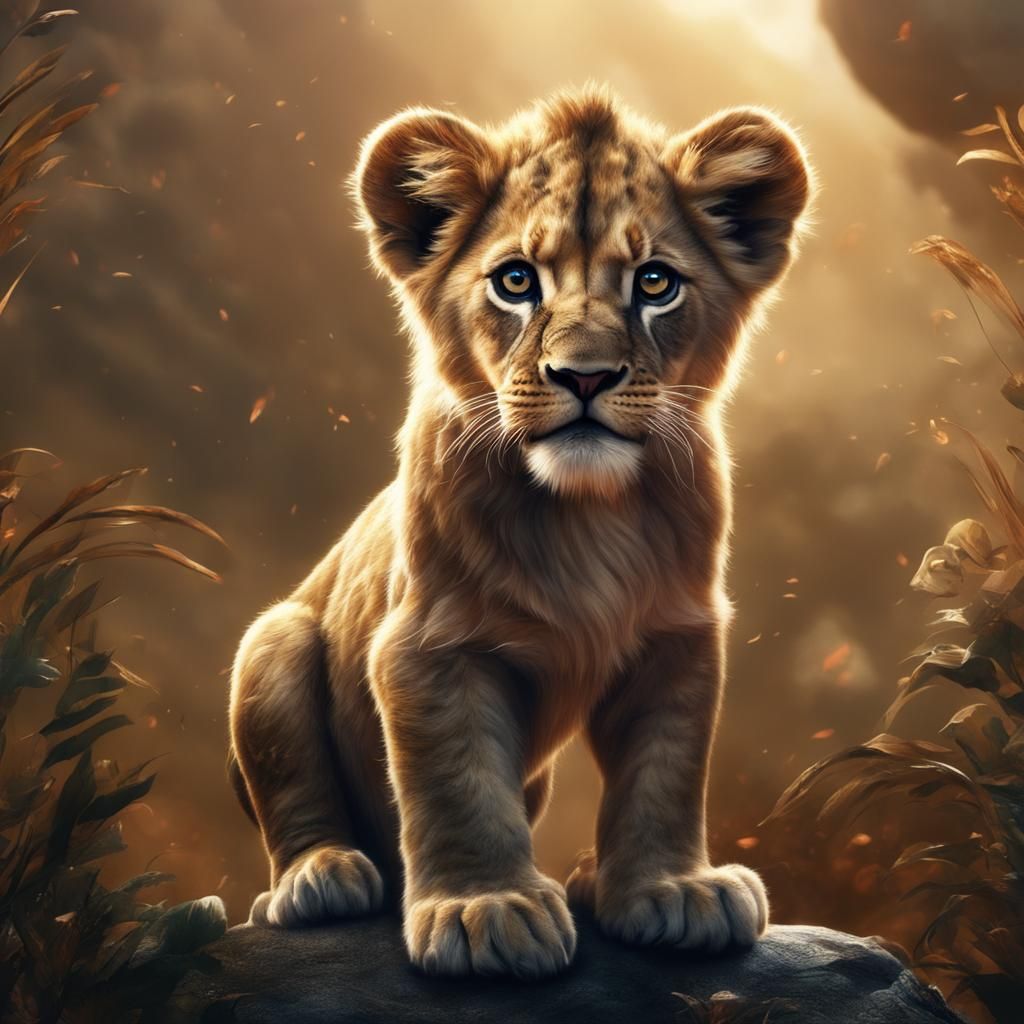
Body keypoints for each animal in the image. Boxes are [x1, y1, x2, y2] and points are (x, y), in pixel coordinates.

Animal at [228, 86, 812, 979]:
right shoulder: (428, 645)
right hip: (273, 642)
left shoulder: (678, 639)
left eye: (655, 282)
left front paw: (673, 890)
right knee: (300, 794)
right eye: (515, 281)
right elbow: (460, 783)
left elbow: (665, 774)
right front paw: (485, 910)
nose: (584, 376)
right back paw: (321, 878)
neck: (588, 511)